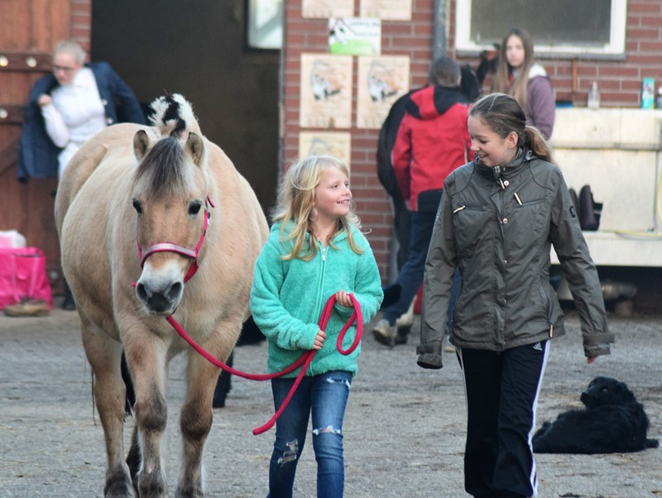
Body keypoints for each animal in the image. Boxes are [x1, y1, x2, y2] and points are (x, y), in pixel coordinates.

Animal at [53, 94, 268, 498]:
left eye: (195, 205)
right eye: (137, 204)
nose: (157, 290)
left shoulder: (218, 338)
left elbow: (196, 417)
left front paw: (190, 488)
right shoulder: (140, 333)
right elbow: (151, 412)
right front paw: (151, 483)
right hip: (96, 329)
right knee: (112, 401)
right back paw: (120, 481)